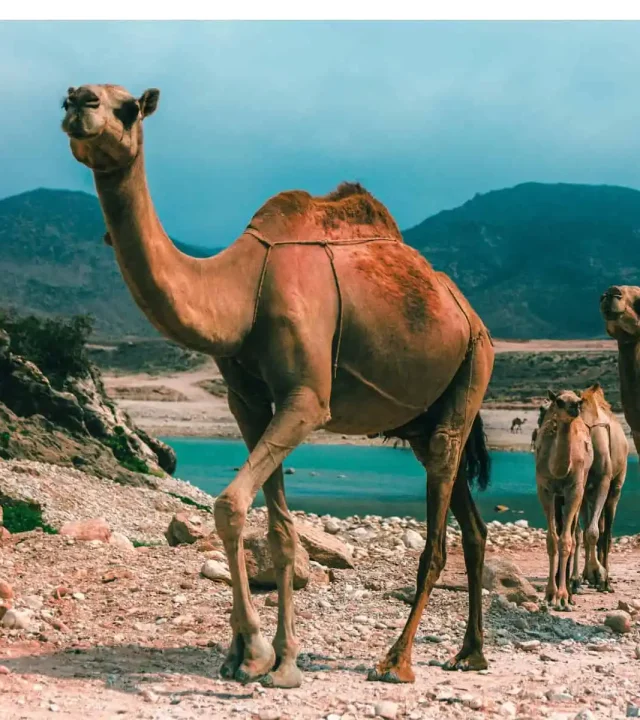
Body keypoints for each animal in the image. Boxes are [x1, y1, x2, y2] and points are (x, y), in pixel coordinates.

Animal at [60, 84, 495, 688]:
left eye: (128, 108)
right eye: (71, 97)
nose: (80, 101)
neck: (244, 291)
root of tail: (468, 314)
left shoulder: (306, 400)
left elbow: (229, 505)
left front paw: (255, 654)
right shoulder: (246, 400)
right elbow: (281, 532)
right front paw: (275, 659)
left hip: (474, 366)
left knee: (438, 527)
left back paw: (397, 660)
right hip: (424, 416)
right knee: (471, 523)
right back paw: (470, 653)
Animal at [534, 390, 593, 610]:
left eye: (579, 401)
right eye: (559, 402)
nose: (574, 408)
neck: (558, 470)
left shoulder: (574, 489)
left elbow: (566, 541)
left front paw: (561, 597)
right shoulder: (544, 488)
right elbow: (552, 540)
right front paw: (550, 595)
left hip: (580, 487)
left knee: (574, 533)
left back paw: (570, 589)